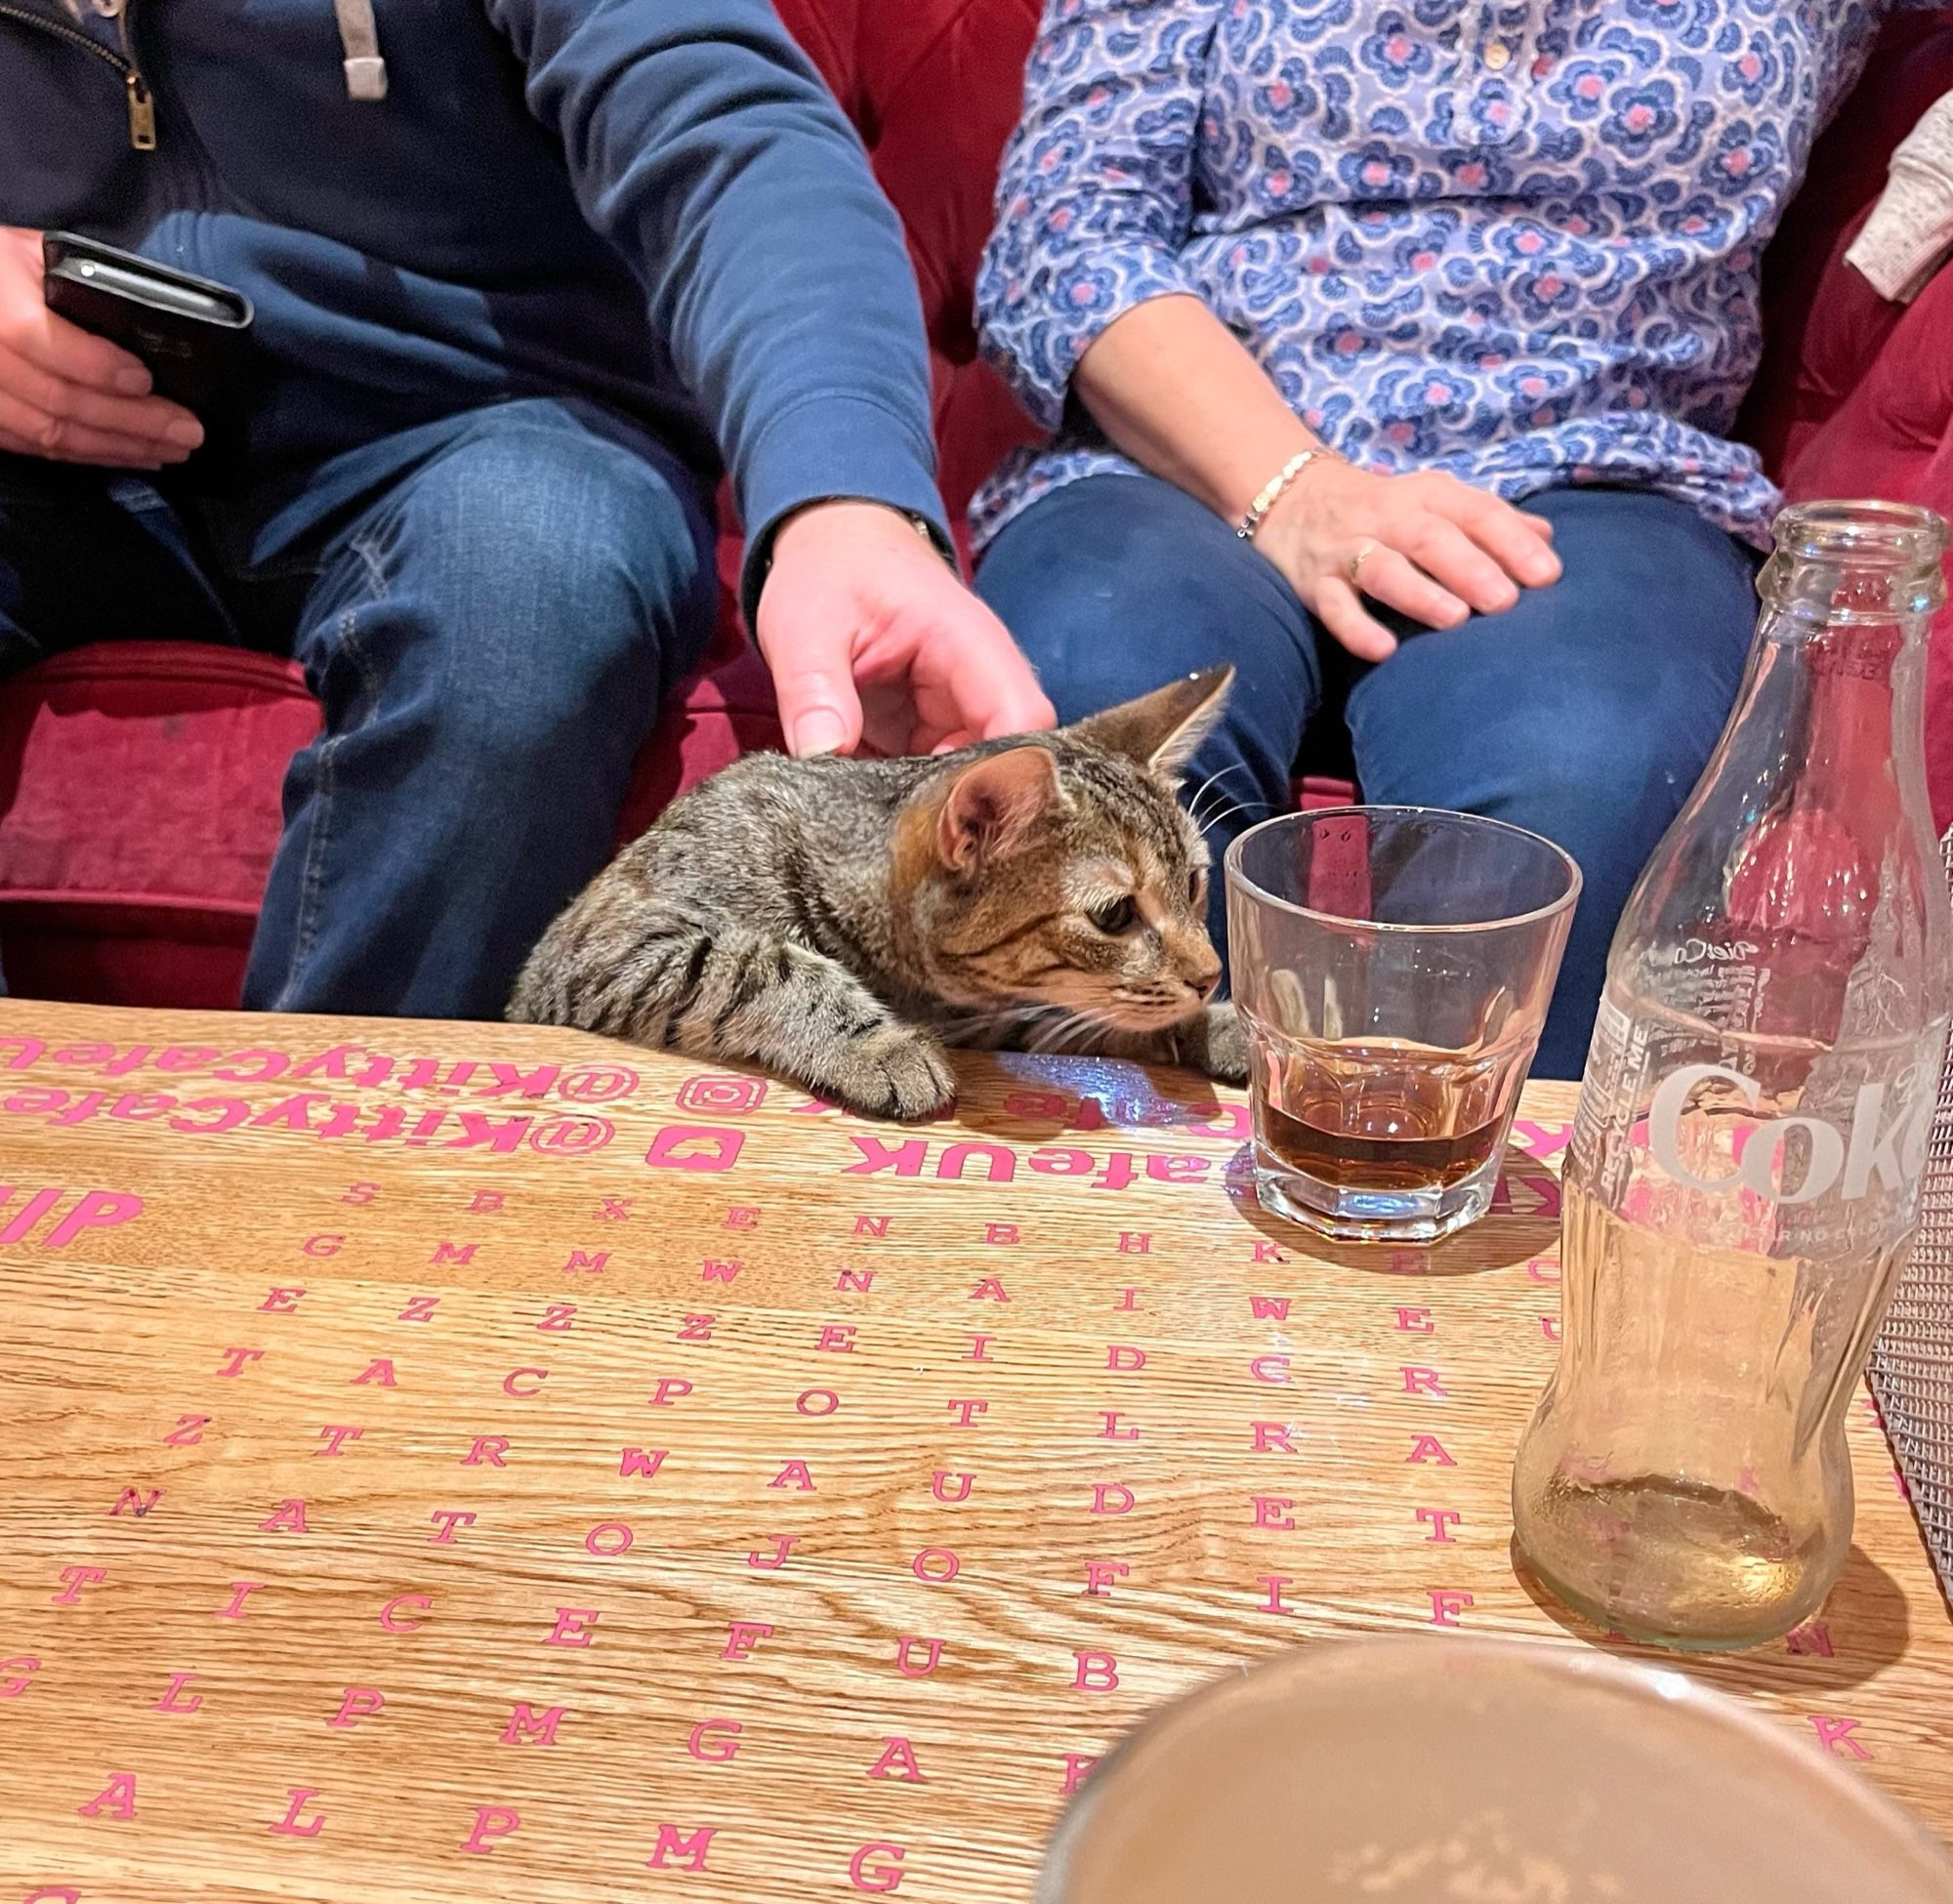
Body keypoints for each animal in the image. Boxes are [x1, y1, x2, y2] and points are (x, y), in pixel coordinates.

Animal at [512, 668, 1242, 1117]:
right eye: (1115, 915)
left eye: (1194, 883)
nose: (1211, 975)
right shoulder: (603, 947)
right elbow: (756, 963)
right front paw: (877, 1045)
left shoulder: (985, 1018)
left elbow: (1067, 1022)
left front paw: (1222, 1025)